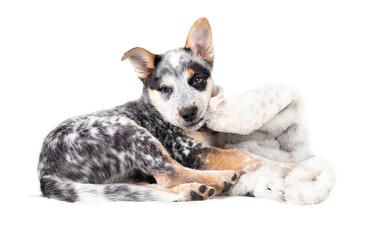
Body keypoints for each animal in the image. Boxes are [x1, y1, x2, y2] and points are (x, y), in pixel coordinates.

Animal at [37, 16, 292, 202]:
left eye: (197, 80)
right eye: (164, 89)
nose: (188, 112)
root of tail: (44, 171)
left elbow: (239, 149)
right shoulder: (192, 153)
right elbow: (246, 157)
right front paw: (289, 166)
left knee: (145, 186)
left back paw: (191, 191)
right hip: (130, 132)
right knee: (168, 173)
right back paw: (220, 180)